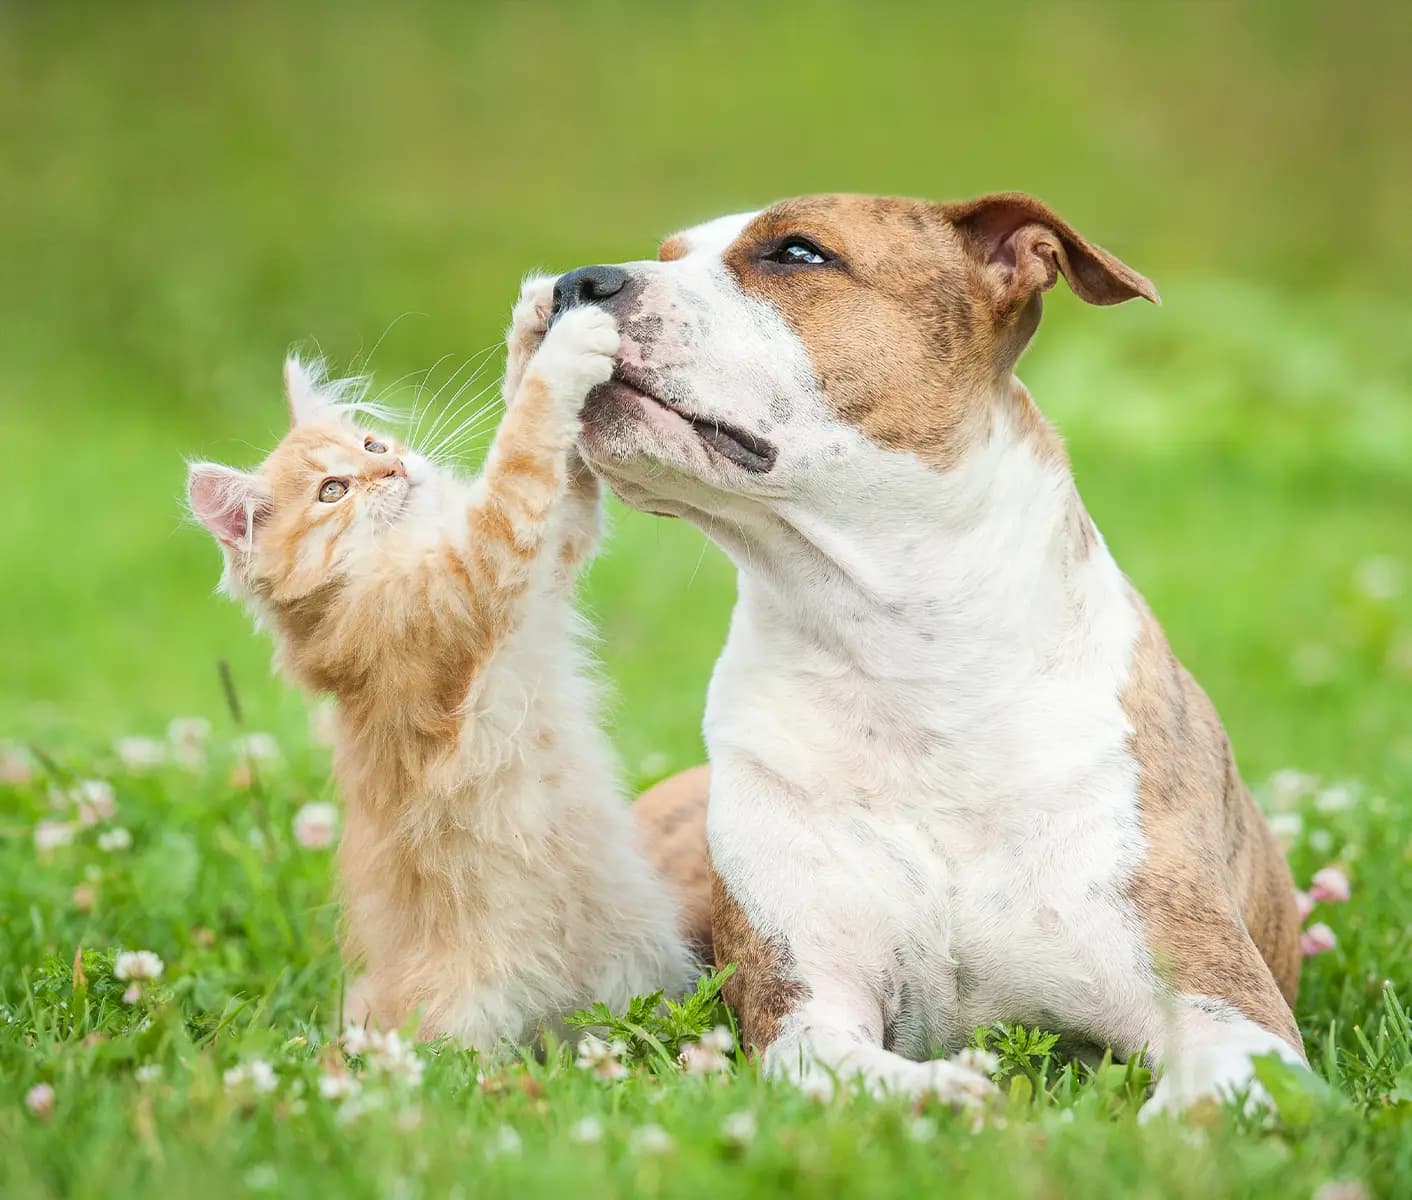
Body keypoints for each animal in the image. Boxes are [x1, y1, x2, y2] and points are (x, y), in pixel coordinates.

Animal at [187, 288, 706, 1050]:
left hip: (646, 967)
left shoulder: (549, 556)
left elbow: (558, 476)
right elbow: (521, 451)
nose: (393, 469)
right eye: (334, 491)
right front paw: (564, 348)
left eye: (372, 446)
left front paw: (534, 323)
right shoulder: (471, 576)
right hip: (463, 1024)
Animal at [553, 189, 1299, 1112]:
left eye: (798, 253)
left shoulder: (1229, 1009)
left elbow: (1206, 1095)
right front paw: (956, 1094)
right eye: (669, 254)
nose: (574, 282)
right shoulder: (806, 1005)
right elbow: (862, 1071)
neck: (905, 658)